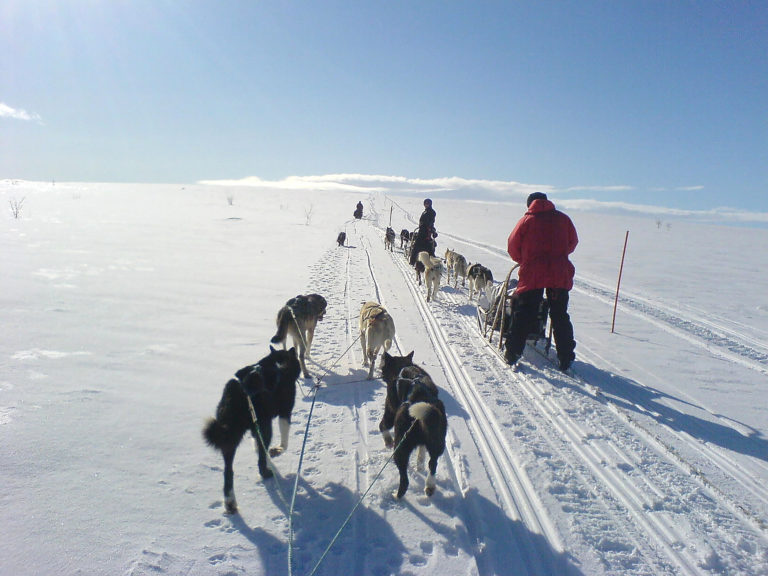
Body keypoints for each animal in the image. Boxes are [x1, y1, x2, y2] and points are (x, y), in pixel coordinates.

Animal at [203, 346, 301, 513]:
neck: (279, 363)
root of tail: (240, 391)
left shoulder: (257, 428)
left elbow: (258, 444)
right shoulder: (284, 413)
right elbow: (284, 440)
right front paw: (277, 450)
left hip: (230, 437)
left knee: (228, 471)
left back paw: (230, 503)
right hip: (265, 427)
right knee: (259, 463)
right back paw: (266, 473)